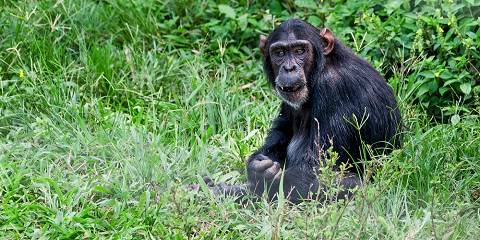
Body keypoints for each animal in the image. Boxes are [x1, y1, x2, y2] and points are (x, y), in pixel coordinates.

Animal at [202, 18, 402, 203]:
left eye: (300, 51)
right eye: (279, 53)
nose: (289, 67)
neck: (320, 70)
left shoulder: (334, 88)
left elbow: (318, 169)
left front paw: (239, 187)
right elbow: (283, 130)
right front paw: (256, 166)